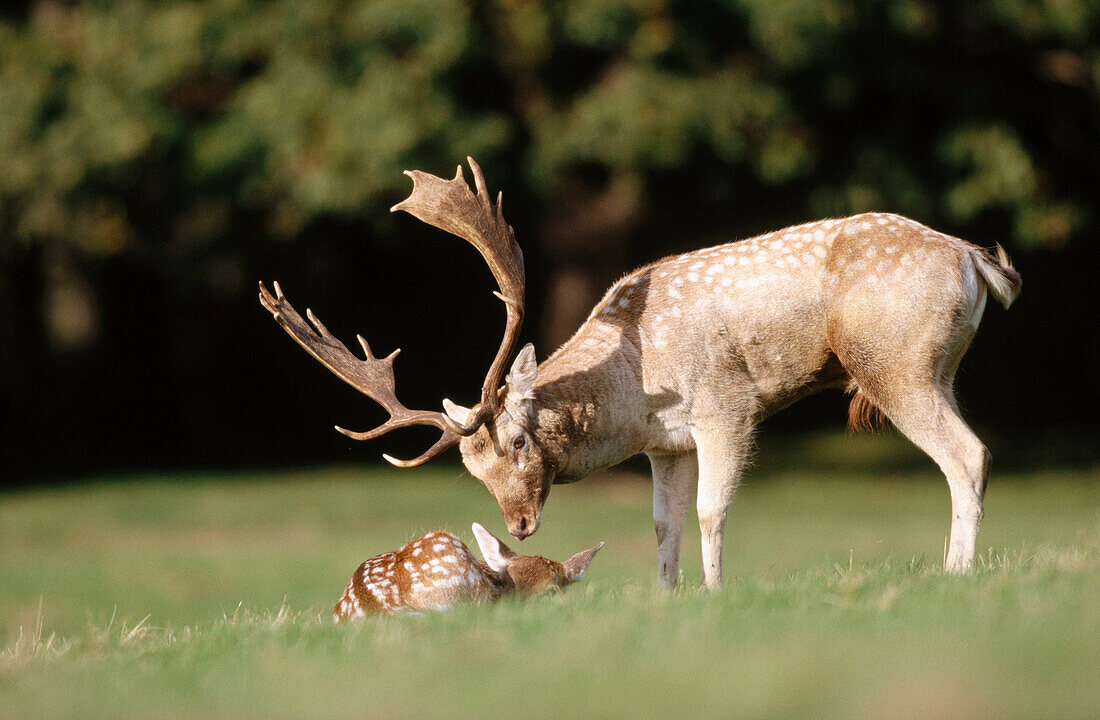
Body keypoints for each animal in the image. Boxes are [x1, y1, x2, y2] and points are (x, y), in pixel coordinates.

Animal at [261, 156, 1016, 584]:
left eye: (518, 441)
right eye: (471, 470)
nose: (519, 525)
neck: (635, 390)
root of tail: (978, 261)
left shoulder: (727, 407)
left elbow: (711, 511)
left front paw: (715, 595)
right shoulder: (667, 445)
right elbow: (663, 527)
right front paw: (667, 599)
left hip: (896, 363)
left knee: (969, 453)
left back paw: (956, 574)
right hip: (937, 367)